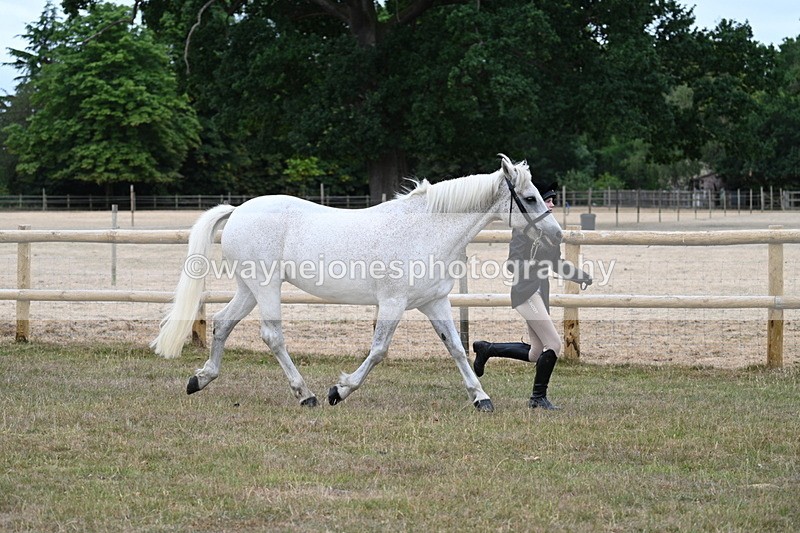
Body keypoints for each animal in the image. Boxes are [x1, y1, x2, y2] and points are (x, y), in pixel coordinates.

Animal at [151, 154, 562, 411]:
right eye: (529, 197)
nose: (557, 234)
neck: (425, 230)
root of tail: (238, 210)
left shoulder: (434, 302)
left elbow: (457, 349)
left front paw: (481, 398)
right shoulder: (393, 304)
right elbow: (378, 350)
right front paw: (340, 390)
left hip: (249, 289)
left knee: (223, 323)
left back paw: (200, 379)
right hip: (266, 287)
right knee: (272, 336)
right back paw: (306, 395)